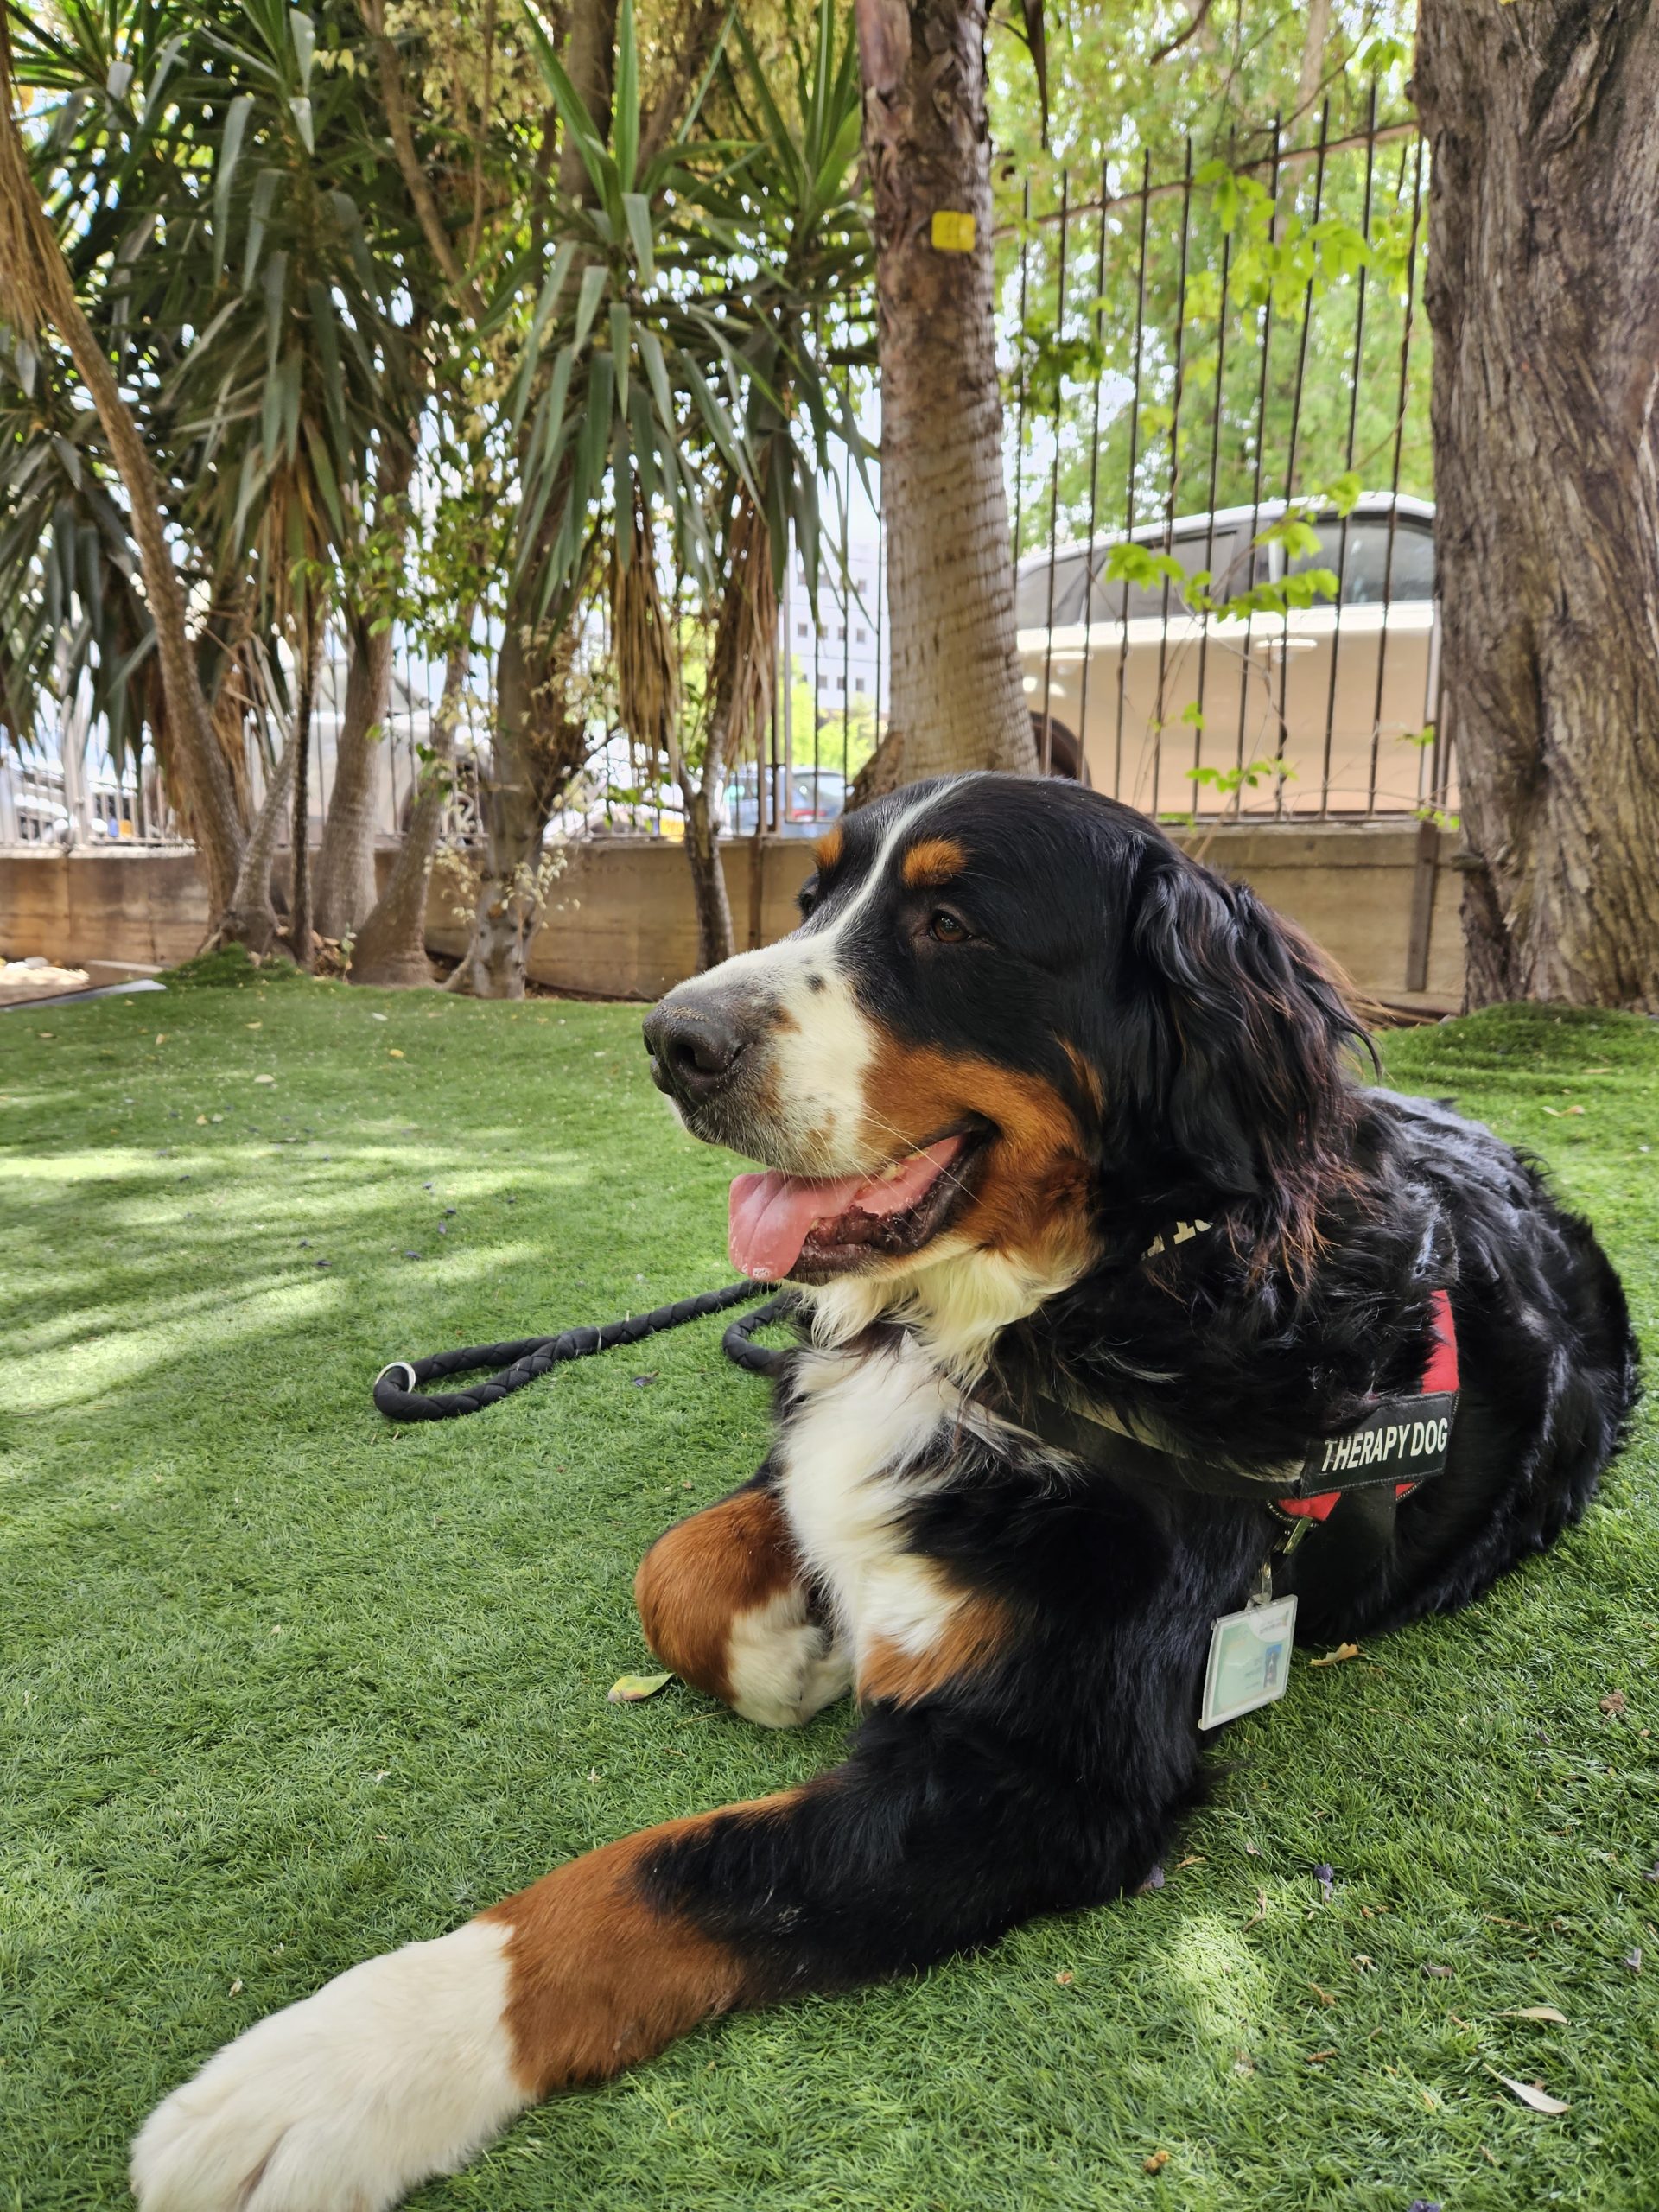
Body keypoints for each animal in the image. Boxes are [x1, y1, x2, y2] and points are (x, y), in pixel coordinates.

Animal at [133, 774, 1637, 2212]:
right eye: (813, 896)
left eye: (950, 923)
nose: (673, 1040)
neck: (1033, 1323)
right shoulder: (816, 1428)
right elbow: (682, 1564)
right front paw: (790, 1649)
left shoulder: (1048, 1773)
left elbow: (671, 1872)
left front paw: (343, 2067)